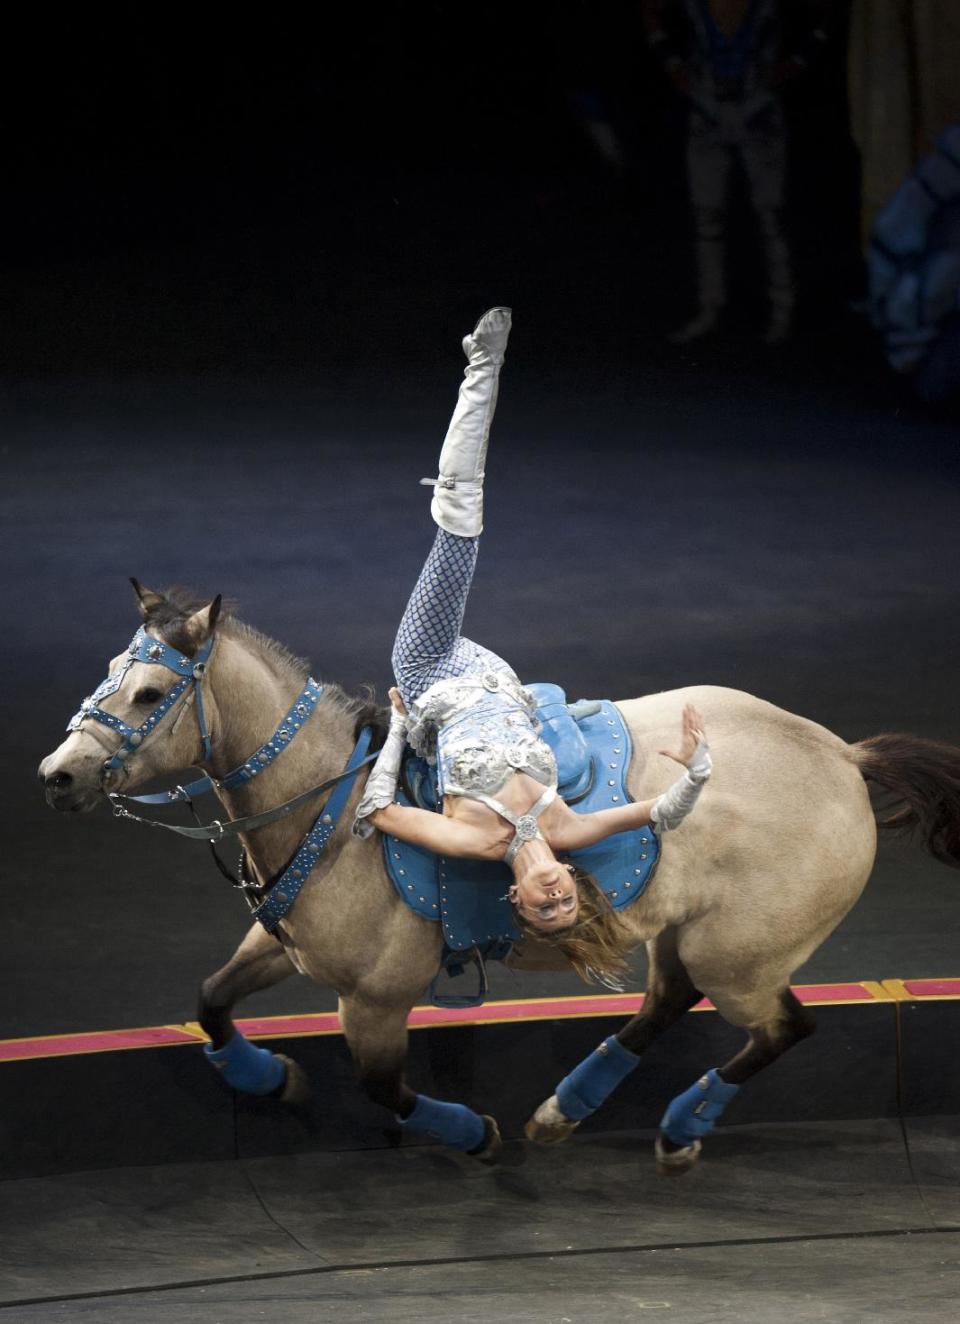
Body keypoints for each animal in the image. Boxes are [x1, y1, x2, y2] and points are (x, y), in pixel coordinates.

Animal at [37, 579, 958, 1170]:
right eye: (111, 674)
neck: (330, 803)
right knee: (668, 1002)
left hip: (741, 956)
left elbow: (382, 1086)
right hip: (691, 935)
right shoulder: (278, 945)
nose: (59, 774)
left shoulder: (374, 998)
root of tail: (841, 756)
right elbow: (210, 1002)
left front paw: (470, 1134)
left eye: (149, 693)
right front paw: (269, 1079)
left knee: (780, 1029)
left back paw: (678, 1123)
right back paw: (566, 1111)